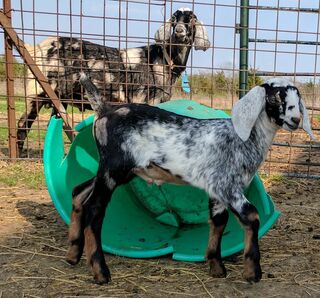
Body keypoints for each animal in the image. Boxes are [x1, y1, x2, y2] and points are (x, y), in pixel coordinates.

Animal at [16, 8, 210, 155]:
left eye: (192, 19)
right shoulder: (144, 99)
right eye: (173, 19)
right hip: (37, 91)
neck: (162, 58)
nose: (179, 31)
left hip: (58, 97)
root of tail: (36, 48)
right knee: (23, 125)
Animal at [64, 74, 316, 284]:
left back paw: (73, 254)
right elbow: (251, 216)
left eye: (297, 98)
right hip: (113, 168)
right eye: (276, 98)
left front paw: (216, 267)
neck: (243, 139)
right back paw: (100, 271)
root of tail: (104, 110)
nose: (295, 119)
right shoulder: (228, 186)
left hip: (118, 171)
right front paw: (252, 272)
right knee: (95, 209)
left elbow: (218, 220)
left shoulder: (217, 188)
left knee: (78, 191)